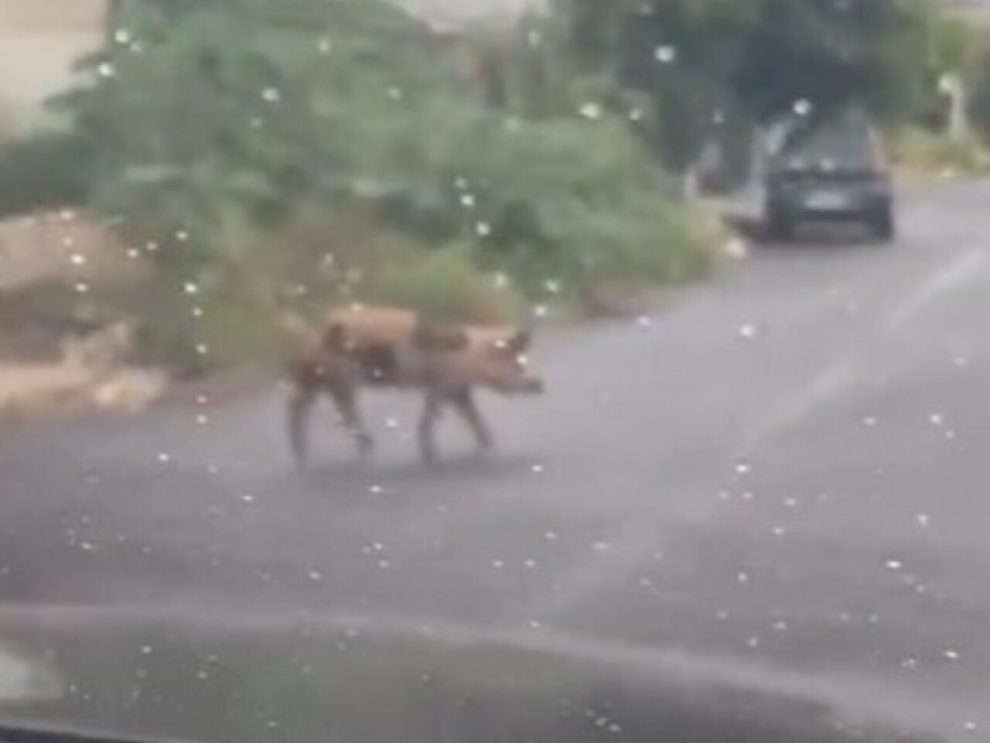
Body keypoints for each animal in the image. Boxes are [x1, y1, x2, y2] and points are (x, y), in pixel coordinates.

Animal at [283, 305, 544, 464]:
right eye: (515, 362)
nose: (539, 384)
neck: (470, 356)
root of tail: (310, 336)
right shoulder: (442, 384)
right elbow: (432, 415)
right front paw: (431, 455)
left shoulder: (455, 389)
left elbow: (470, 414)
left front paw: (488, 444)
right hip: (336, 376)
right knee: (316, 405)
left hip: (322, 378)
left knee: (311, 403)